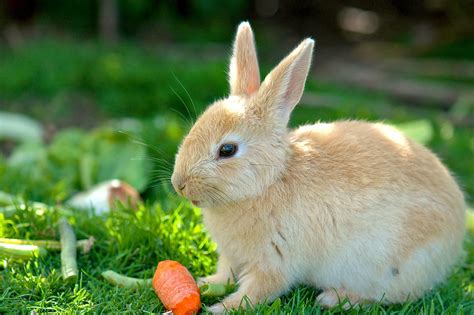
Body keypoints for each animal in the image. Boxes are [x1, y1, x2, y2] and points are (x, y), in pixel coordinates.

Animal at [171, 22, 466, 314]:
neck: (270, 181)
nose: (179, 184)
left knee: (391, 296)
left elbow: (254, 293)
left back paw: (334, 299)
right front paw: (203, 282)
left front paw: (218, 308)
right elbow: (225, 275)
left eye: (227, 150)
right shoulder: (232, 257)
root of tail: (458, 226)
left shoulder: (275, 261)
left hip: (391, 268)